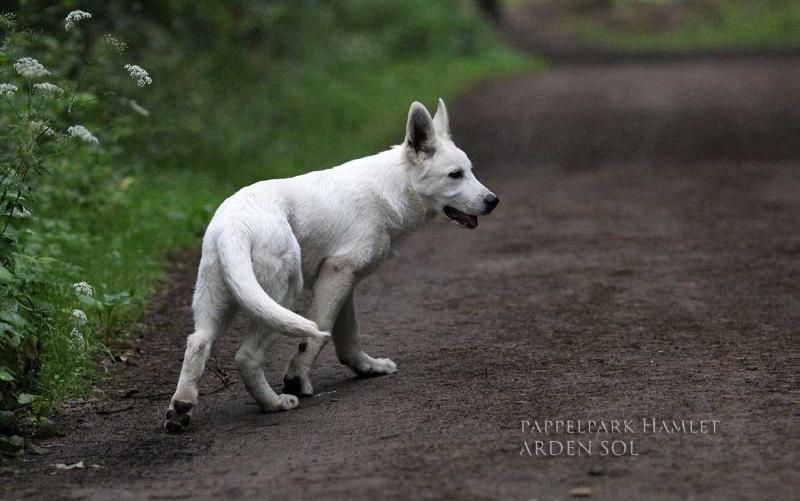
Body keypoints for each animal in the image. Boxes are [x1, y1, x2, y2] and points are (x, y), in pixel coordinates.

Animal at [166, 99, 496, 432]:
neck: (392, 189)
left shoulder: (343, 283)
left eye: (470, 171)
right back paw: (275, 403)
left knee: (198, 342)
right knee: (247, 356)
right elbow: (318, 335)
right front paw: (297, 380)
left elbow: (349, 339)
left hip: (219, 301)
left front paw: (368, 368)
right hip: (283, 298)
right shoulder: (338, 273)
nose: (493, 201)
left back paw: (181, 408)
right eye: (455, 175)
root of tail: (234, 225)